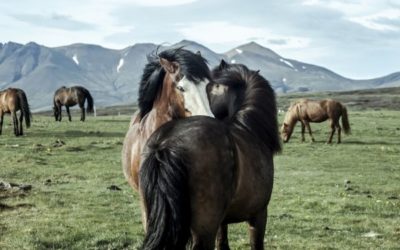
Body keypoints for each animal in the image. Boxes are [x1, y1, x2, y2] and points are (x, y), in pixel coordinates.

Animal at [139, 60, 280, 250]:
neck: (248, 128)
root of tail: (165, 144)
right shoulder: (259, 214)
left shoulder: (222, 222)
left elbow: (223, 243)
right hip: (204, 230)